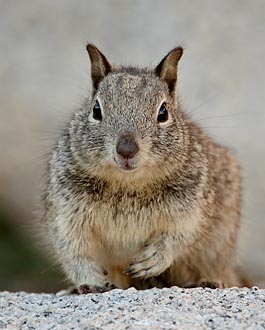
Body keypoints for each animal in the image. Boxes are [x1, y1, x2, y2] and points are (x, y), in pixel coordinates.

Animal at [42, 43, 244, 294]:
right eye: (96, 110)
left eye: (163, 112)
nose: (126, 149)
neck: (128, 185)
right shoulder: (66, 214)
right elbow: (74, 252)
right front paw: (92, 282)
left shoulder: (191, 212)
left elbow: (178, 238)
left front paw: (152, 260)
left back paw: (208, 281)